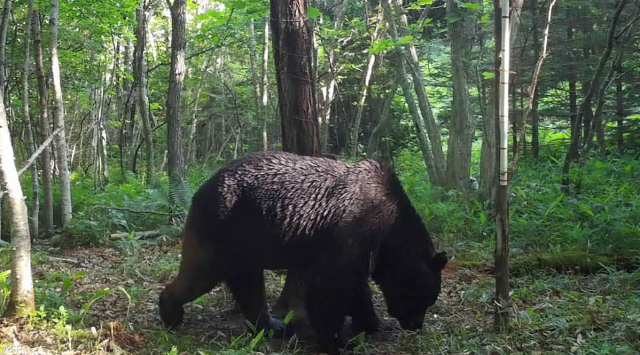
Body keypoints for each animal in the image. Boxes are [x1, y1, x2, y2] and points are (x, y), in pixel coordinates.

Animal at [159, 152, 448, 354]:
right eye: (424, 299)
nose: (415, 325)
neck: (389, 229)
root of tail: (201, 188)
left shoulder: (359, 251)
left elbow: (356, 289)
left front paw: (375, 323)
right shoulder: (350, 232)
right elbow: (330, 288)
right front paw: (335, 341)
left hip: (245, 242)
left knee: (248, 285)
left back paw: (272, 325)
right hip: (225, 227)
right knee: (202, 273)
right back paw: (170, 312)